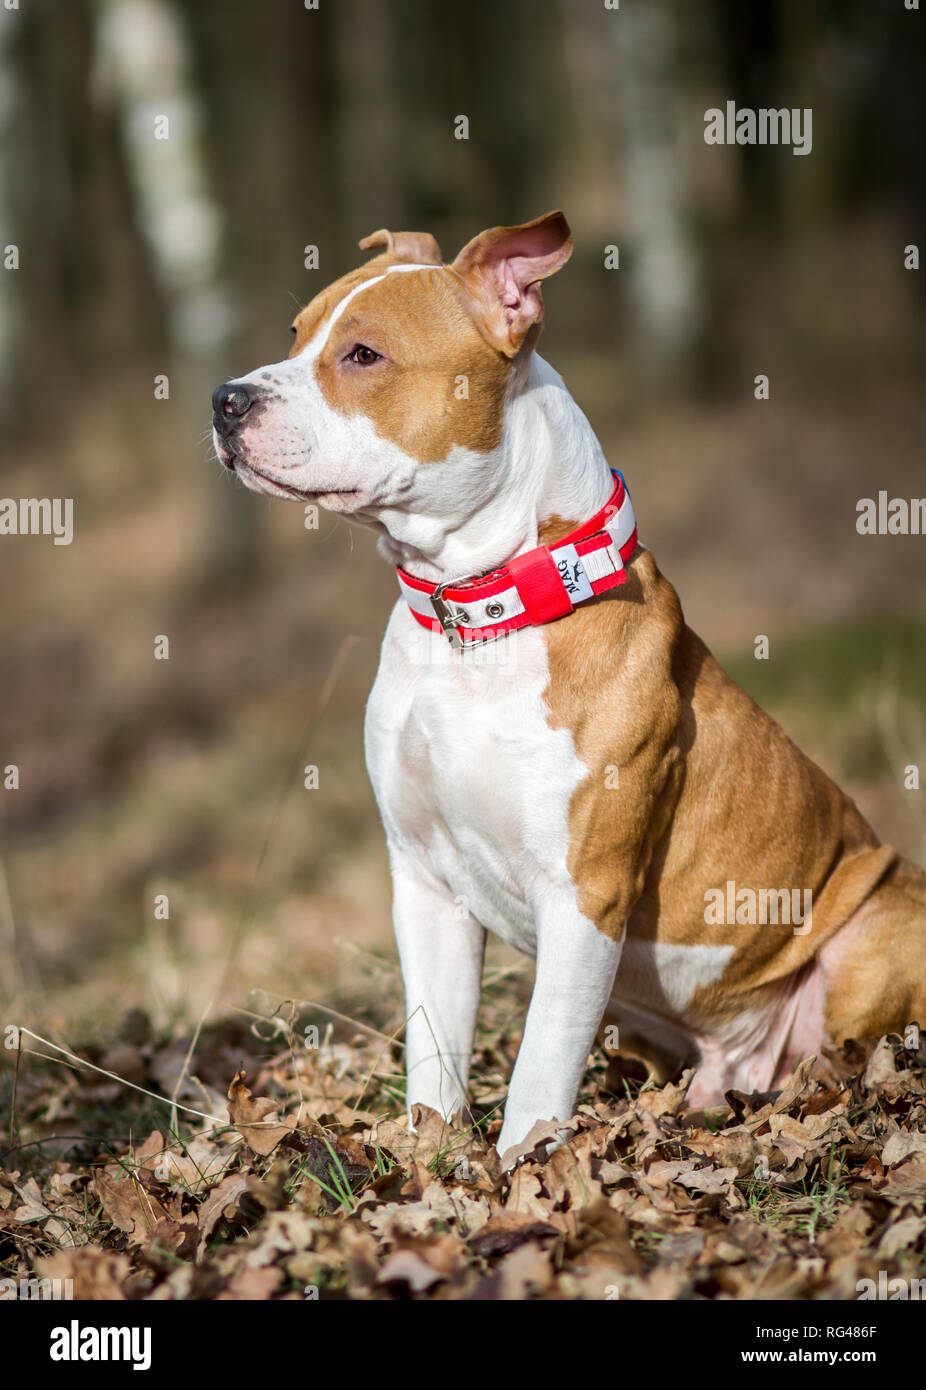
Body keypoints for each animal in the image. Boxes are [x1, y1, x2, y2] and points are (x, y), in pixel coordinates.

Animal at [211, 205, 923, 1162]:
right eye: (295, 335)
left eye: (363, 355)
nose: (225, 399)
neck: (479, 616)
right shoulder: (424, 884)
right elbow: (436, 1055)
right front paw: (431, 1165)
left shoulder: (586, 896)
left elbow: (539, 1069)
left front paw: (520, 1175)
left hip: (876, 927)